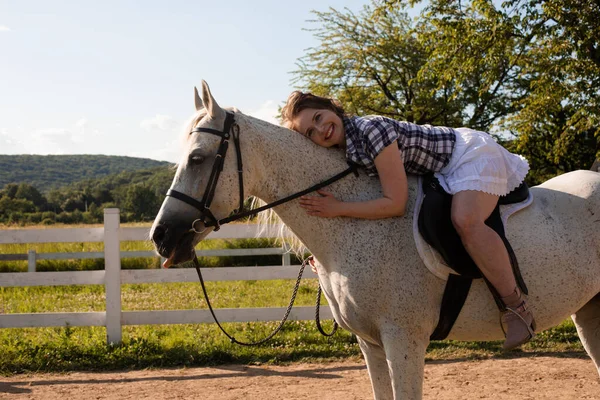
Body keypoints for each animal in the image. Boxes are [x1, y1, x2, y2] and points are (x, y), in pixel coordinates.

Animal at [150, 79, 600, 398]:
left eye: (197, 158)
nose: (161, 236)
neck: (351, 226)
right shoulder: (371, 344)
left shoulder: (404, 340)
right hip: (588, 313)